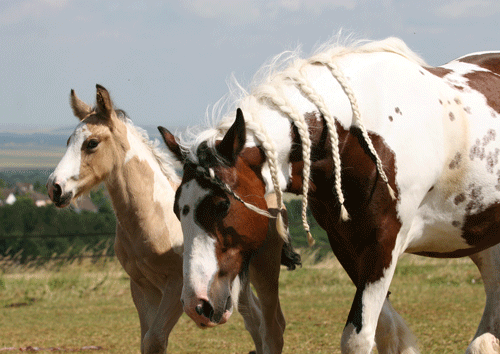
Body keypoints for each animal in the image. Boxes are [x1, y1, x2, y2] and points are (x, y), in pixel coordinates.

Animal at [46, 85, 296, 354]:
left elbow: (155, 339)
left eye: (91, 143)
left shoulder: (177, 287)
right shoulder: (141, 286)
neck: (153, 217)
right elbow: (147, 340)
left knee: (273, 324)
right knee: (255, 322)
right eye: (68, 141)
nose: (55, 188)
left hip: (263, 267)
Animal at [161, 37, 500, 352]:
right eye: (178, 209)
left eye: (221, 204)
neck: (363, 137)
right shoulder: (347, 245)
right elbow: (387, 331)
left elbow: (358, 337)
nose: (197, 304)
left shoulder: (384, 245)